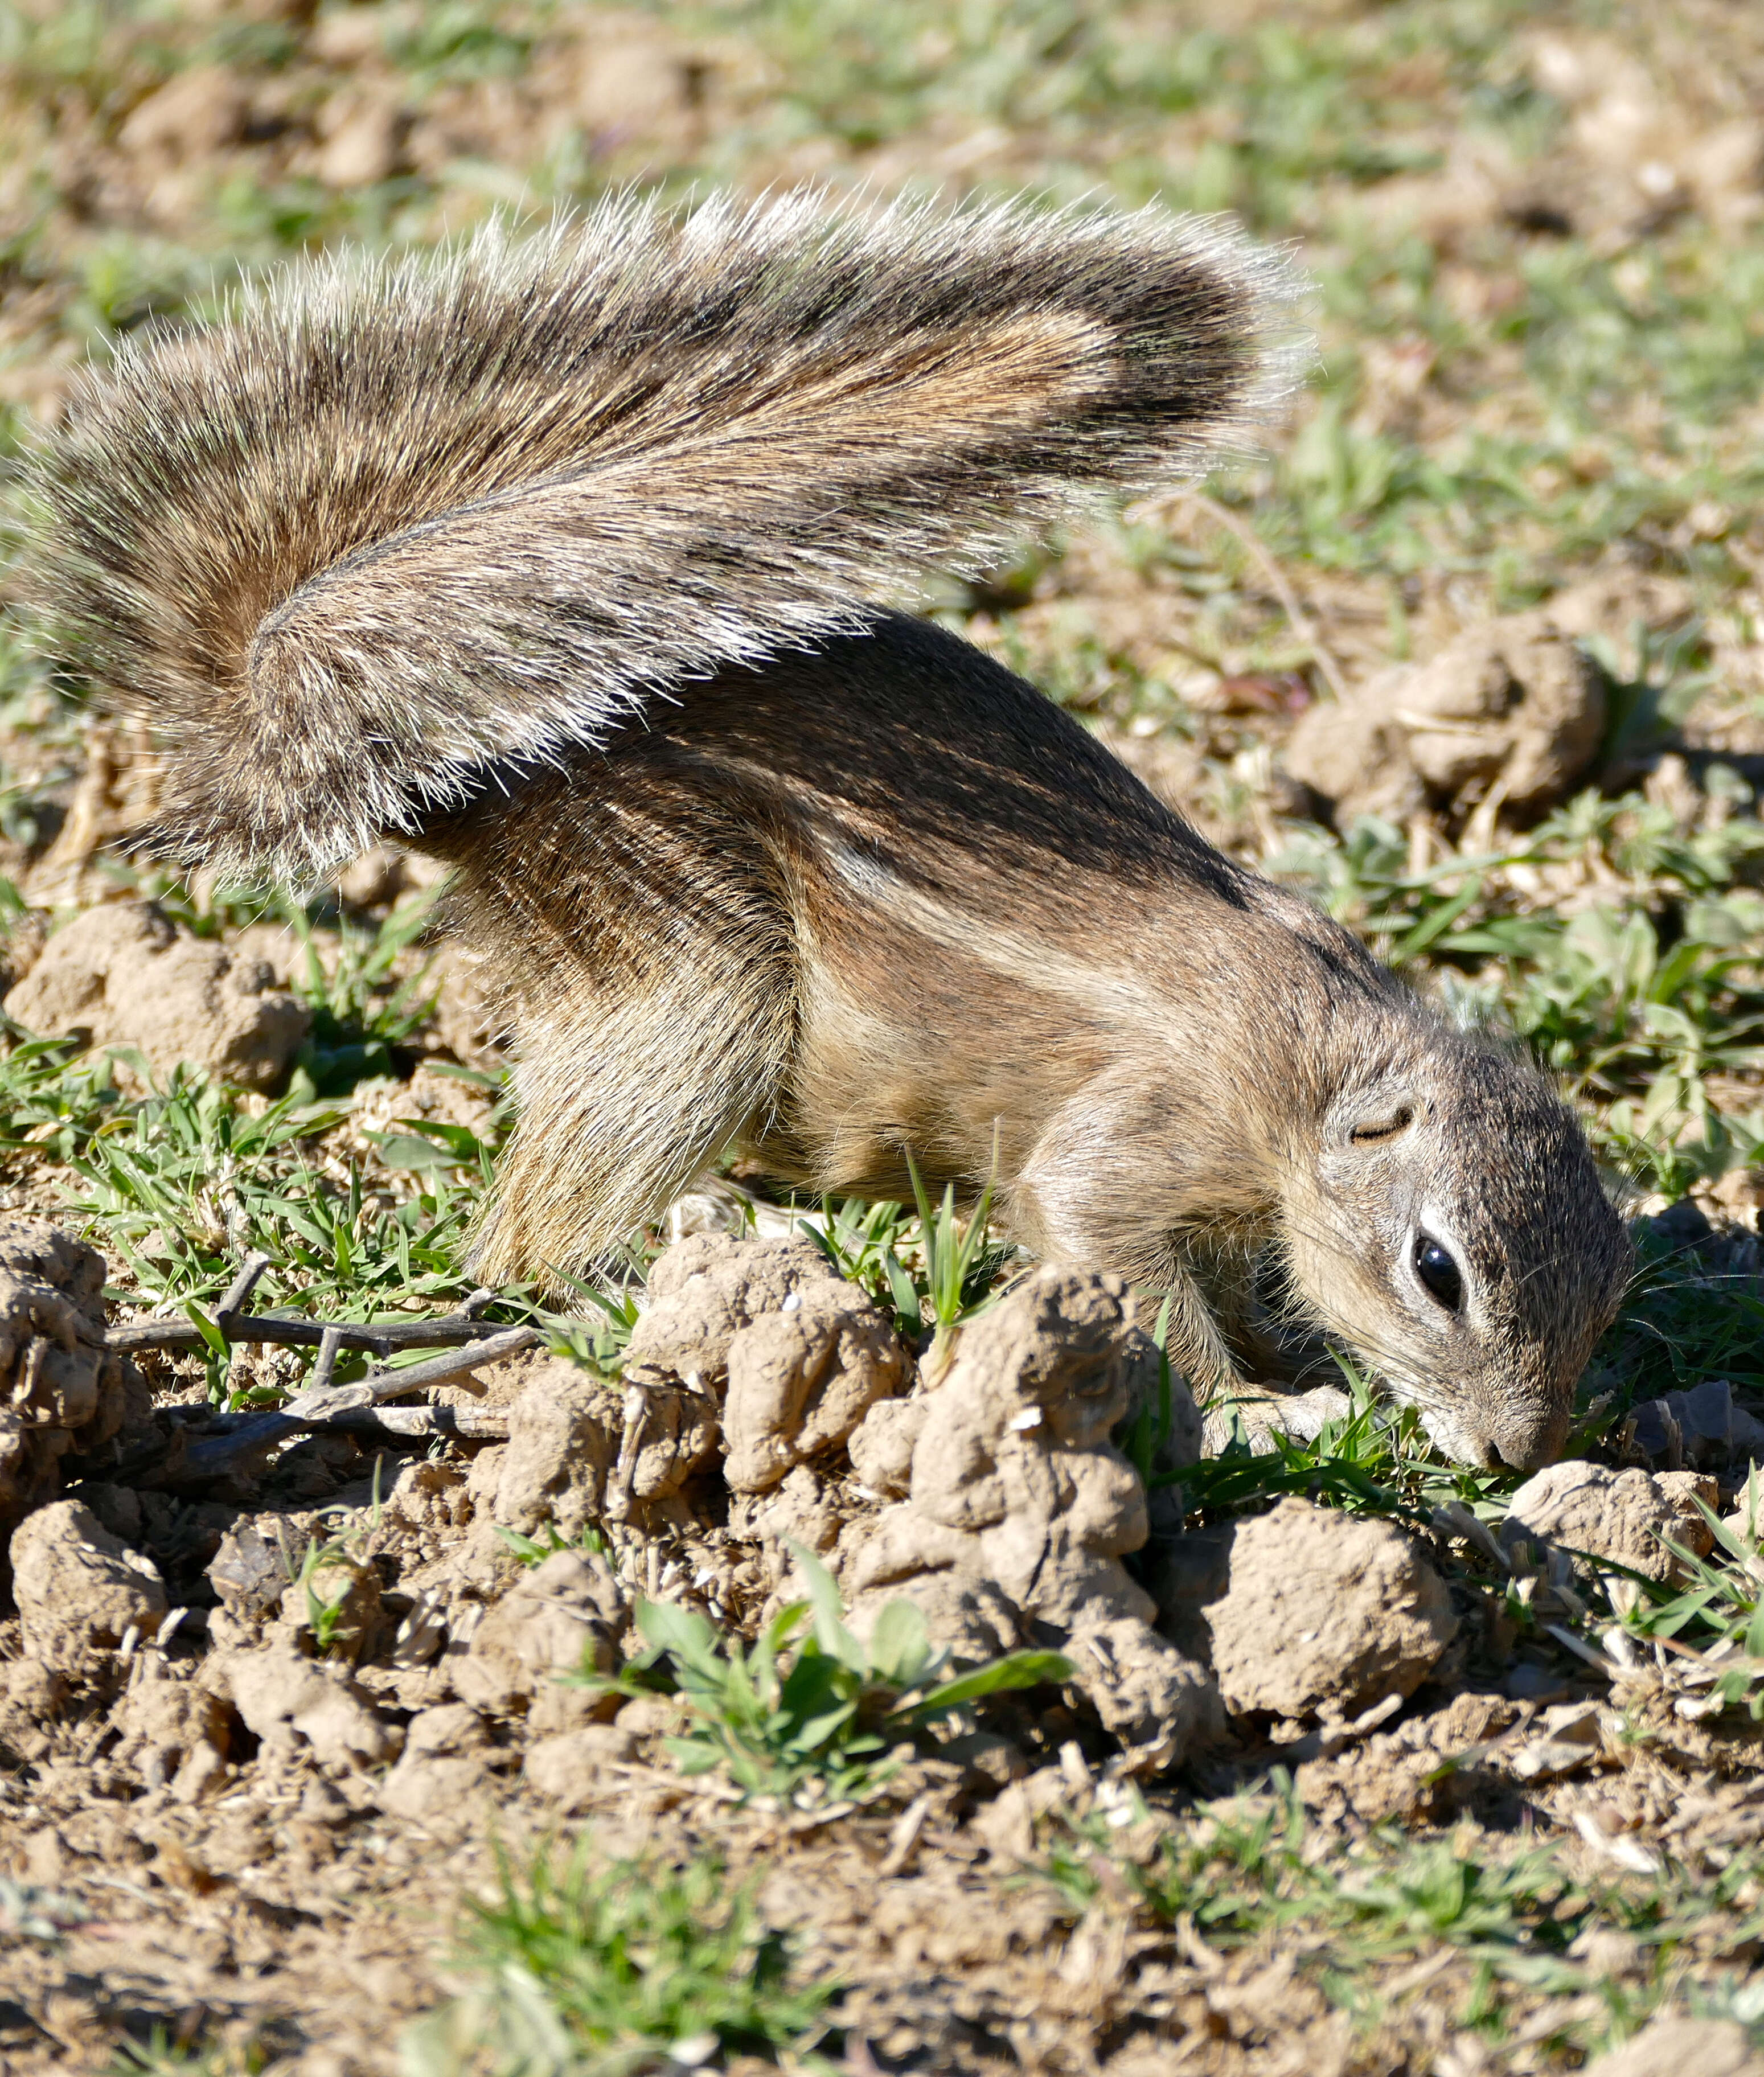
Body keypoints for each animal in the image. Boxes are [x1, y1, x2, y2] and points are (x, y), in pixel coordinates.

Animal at [27, 191, 1621, 1462]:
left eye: (1609, 1290)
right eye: (1436, 1269)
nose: (1521, 1454)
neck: (1312, 1062)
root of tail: (478, 765)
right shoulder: (1131, 1139)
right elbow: (1118, 1260)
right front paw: (1253, 1408)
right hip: (693, 983)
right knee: (528, 1236)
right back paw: (652, 1277)